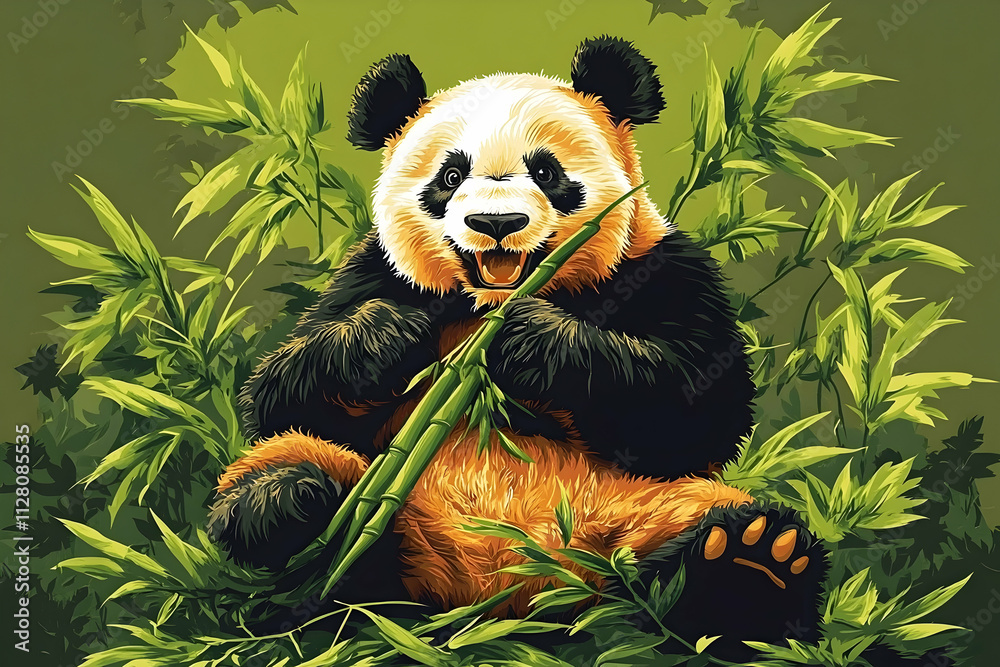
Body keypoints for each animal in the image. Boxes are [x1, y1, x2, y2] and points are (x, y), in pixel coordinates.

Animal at [206, 36, 831, 662]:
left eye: (547, 171)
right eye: (450, 174)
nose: (496, 221)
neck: (488, 302)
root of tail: (495, 602)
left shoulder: (662, 268)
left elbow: (697, 412)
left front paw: (533, 341)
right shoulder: (372, 276)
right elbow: (280, 398)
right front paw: (387, 340)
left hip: (638, 514)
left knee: (699, 526)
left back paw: (749, 564)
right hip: (385, 503)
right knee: (300, 466)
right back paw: (292, 509)